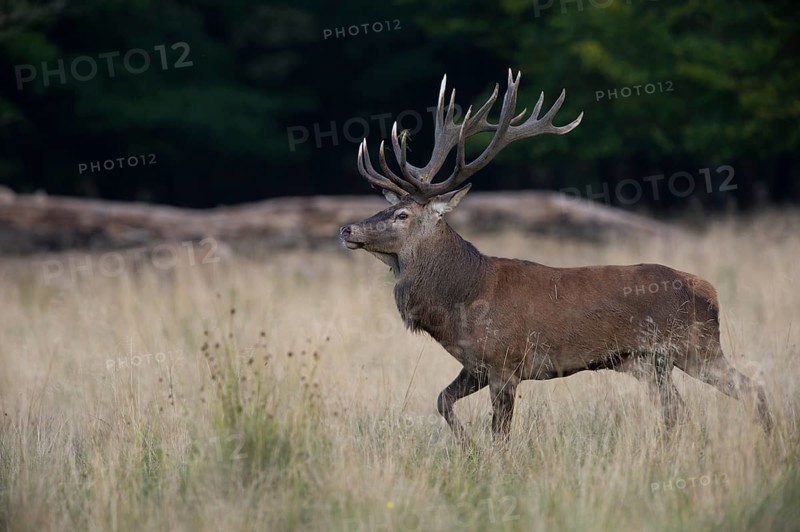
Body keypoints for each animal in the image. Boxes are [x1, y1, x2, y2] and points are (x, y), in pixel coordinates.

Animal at [339, 70, 773, 448]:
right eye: (387, 207)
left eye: (401, 214)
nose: (347, 229)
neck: (461, 299)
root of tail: (708, 291)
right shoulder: (476, 365)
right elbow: (442, 400)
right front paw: (466, 449)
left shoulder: (506, 362)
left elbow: (500, 435)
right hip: (648, 362)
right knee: (678, 412)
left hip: (695, 346)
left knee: (753, 389)